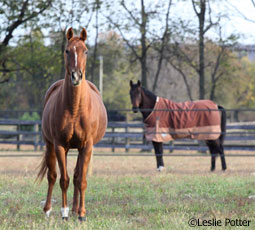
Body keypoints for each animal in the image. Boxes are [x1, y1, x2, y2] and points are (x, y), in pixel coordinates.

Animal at [36, 27, 106, 221]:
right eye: (67, 51)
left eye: (86, 51)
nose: (76, 76)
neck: (75, 109)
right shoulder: (60, 146)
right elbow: (63, 179)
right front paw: (64, 212)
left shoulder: (86, 146)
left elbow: (80, 179)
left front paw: (81, 213)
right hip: (51, 145)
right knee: (52, 176)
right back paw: (48, 209)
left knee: (75, 176)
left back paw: (76, 209)